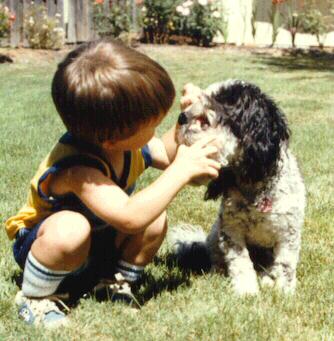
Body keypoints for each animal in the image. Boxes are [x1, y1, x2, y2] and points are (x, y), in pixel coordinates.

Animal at [171, 81, 306, 294]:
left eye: (205, 121)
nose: (181, 117)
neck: (255, 189)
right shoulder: (231, 229)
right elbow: (240, 262)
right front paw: (246, 290)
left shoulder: (288, 232)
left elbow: (285, 265)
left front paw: (283, 291)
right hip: (214, 236)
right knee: (217, 259)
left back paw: (268, 279)